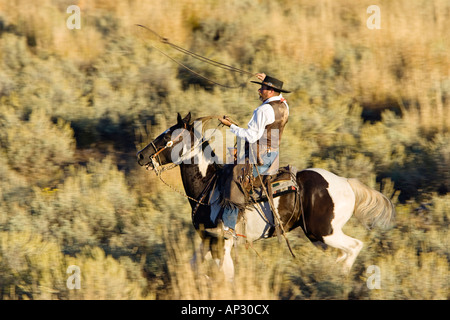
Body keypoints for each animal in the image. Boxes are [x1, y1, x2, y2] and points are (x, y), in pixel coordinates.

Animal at [136, 112, 394, 280]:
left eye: (168, 136)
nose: (141, 155)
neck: (209, 187)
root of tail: (346, 184)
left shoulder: (222, 241)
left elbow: (226, 273)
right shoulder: (207, 239)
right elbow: (195, 266)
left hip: (324, 231)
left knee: (354, 246)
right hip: (319, 235)